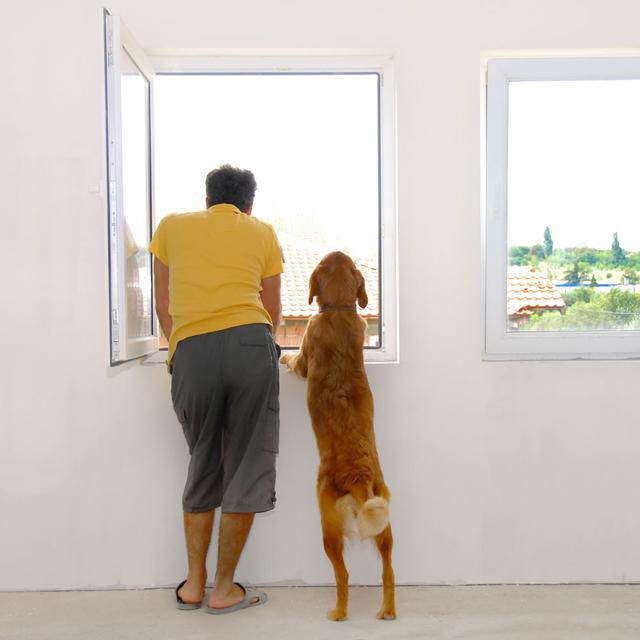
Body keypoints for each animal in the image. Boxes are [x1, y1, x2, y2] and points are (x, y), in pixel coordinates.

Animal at [282, 250, 396, 620]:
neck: (339, 312)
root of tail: (358, 476)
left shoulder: (305, 351)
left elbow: (295, 361)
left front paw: (283, 355)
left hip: (327, 524)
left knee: (342, 574)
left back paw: (339, 613)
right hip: (384, 522)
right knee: (388, 571)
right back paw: (387, 611)